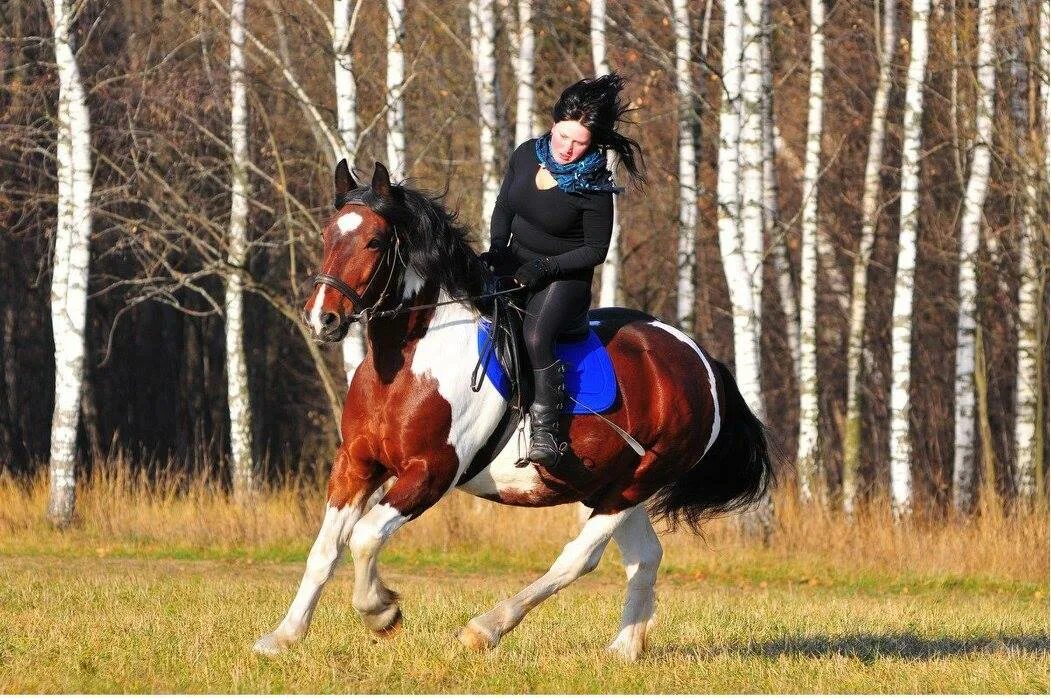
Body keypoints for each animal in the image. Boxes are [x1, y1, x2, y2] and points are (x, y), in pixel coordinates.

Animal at [250, 157, 777, 660]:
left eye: (375, 241)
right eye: (328, 235)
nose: (323, 318)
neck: (407, 364)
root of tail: (701, 359)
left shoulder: (431, 471)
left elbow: (365, 536)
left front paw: (382, 612)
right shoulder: (356, 463)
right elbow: (325, 550)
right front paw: (283, 637)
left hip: (636, 482)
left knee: (578, 558)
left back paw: (485, 629)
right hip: (606, 483)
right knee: (644, 556)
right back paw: (623, 651)